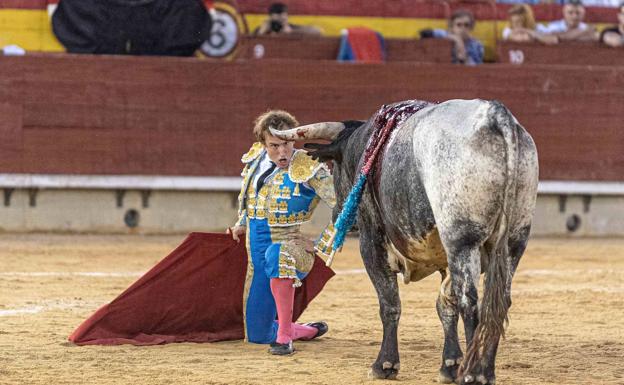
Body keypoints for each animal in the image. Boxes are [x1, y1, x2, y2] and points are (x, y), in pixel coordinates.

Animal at [270, 100, 540, 384]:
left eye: (335, 168)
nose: (337, 214)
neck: (366, 146)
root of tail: (495, 116)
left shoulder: (372, 241)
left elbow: (390, 303)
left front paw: (385, 364)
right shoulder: (444, 256)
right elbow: (445, 305)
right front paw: (449, 365)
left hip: (462, 241)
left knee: (471, 301)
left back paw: (473, 373)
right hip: (513, 242)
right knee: (498, 302)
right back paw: (484, 370)